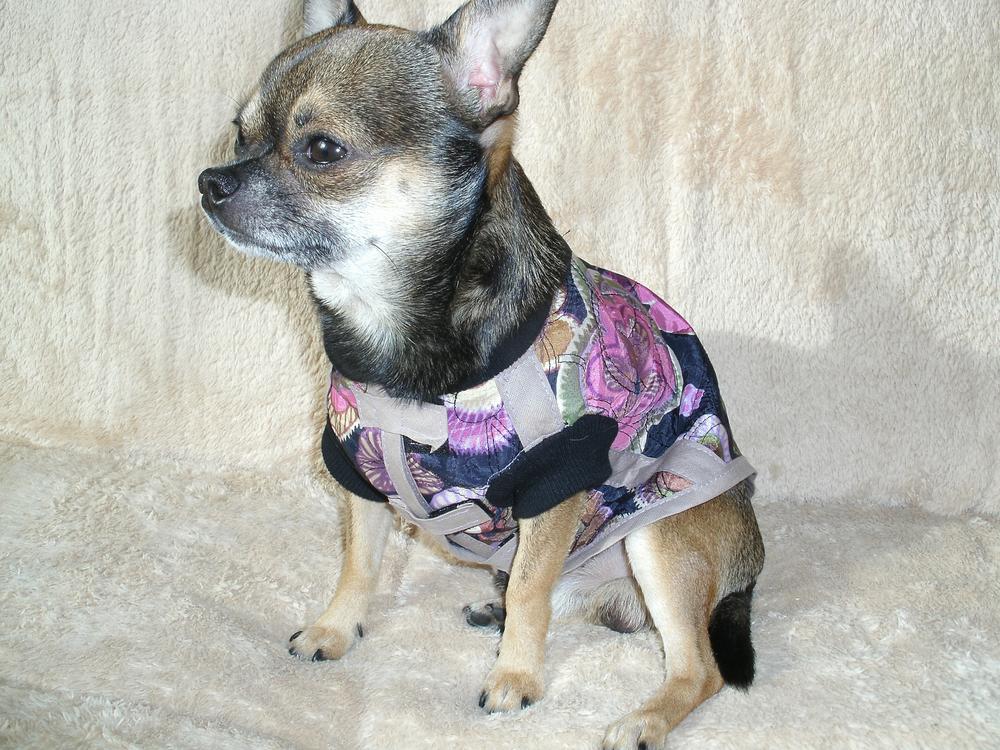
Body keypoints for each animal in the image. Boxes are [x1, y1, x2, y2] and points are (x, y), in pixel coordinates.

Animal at [198, 1, 765, 747]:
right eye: (239, 133)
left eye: (322, 150)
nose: (210, 182)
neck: (397, 335)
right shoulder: (356, 473)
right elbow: (359, 562)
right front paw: (335, 628)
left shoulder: (555, 479)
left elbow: (528, 589)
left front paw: (516, 677)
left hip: (659, 531)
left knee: (697, 667)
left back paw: (640, 717)